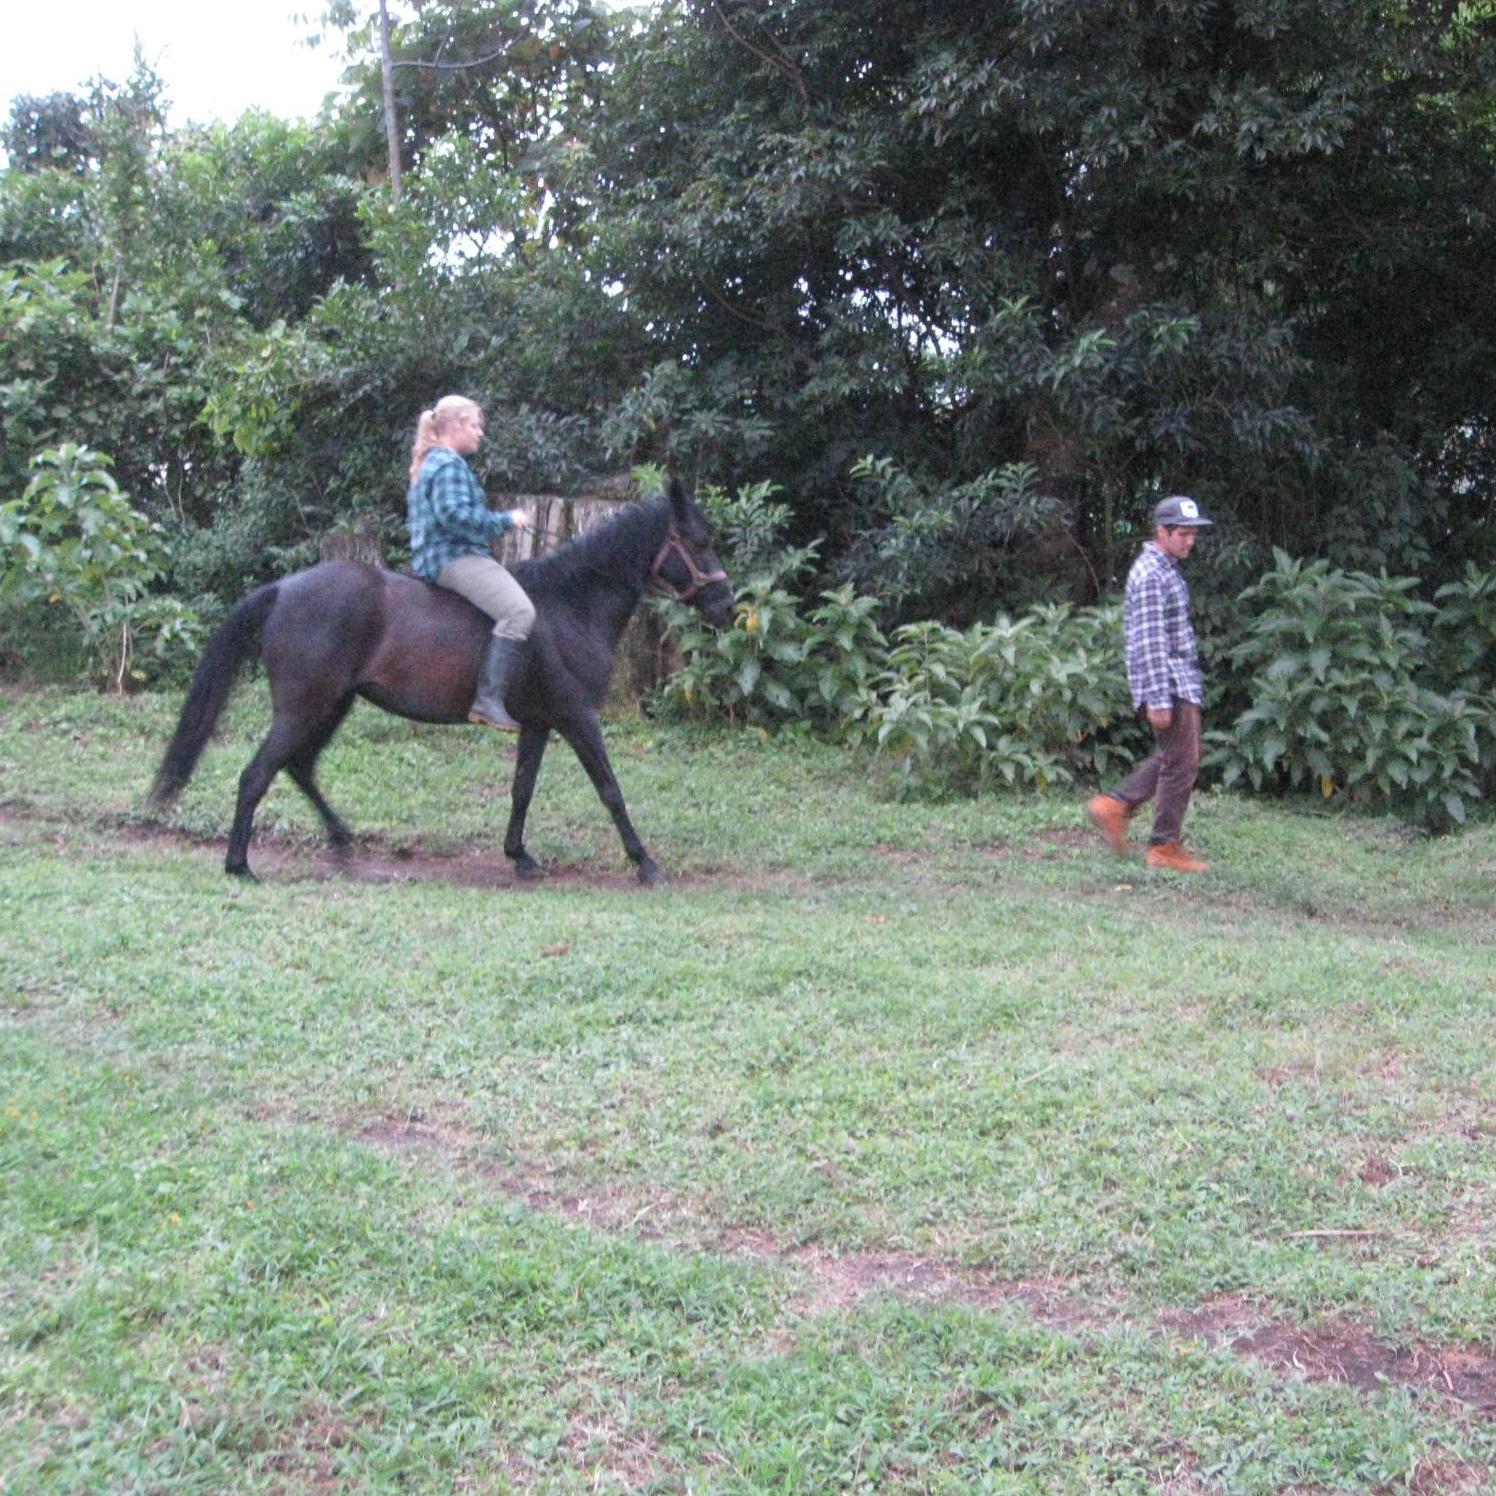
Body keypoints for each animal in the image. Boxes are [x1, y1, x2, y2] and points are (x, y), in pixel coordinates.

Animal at [148, 478, 733, 879]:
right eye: (699, 540)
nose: (727, 606)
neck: (571, 606)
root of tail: (284, 588)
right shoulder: (577, 717)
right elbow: (610, 790)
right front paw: (646, 863)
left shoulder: (539, 723)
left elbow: (522, 789)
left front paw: (518, 855)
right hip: (303, 707)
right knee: (258, 774)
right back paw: (239, 864)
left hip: (333, 704)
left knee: (300, 767)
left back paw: (341, 841)